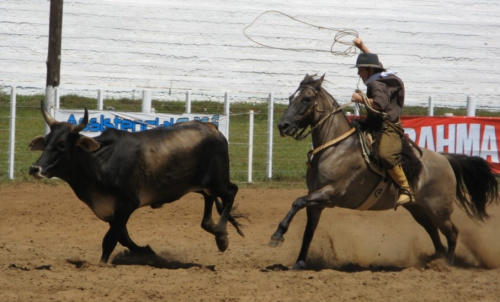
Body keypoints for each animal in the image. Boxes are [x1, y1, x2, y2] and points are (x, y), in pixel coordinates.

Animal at [29, 102, 244, 264]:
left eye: (61, 144)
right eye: (46, 141)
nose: (35, 168)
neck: (99, 162)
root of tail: (212, 128)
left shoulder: (127, 203)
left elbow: (110, 238)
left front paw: (102, 264)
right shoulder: (109, 209)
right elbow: (122, 237)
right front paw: (146, 251)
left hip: (218, 181)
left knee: (231, 192)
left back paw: (221, 236)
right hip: (202, 184)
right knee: (210, 200)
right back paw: (213, 229)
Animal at [272, 73, 498, 268]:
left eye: (307, 99)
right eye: (291, 97)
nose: (283, 125)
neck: (335, 148)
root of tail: (445, 159)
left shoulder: (330, 193)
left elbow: (297, 201)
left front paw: (278, 235)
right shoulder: (316, 200)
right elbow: (308, 231)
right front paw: (299, 263)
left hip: (439, 210)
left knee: (452, 233)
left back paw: (447, 265)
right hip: (419, 209)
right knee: (434, 233)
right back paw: (435, 260)